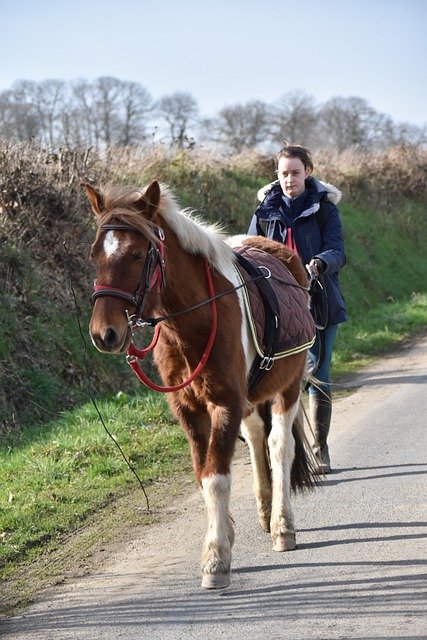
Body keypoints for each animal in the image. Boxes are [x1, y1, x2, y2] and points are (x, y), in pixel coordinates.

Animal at [85, 180, 316, 592]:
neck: (194, 320)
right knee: (256, 437)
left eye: (138, 254)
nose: (104, 333)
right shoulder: (189, 409)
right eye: (96, 253)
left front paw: (216, 558)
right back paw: (265, 510)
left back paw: (282, 526)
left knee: (279, 446)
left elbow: (217, 477)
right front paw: (223, 534)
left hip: (287, 386)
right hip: (251, 398)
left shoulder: (225, 403)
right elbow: (202, 472)